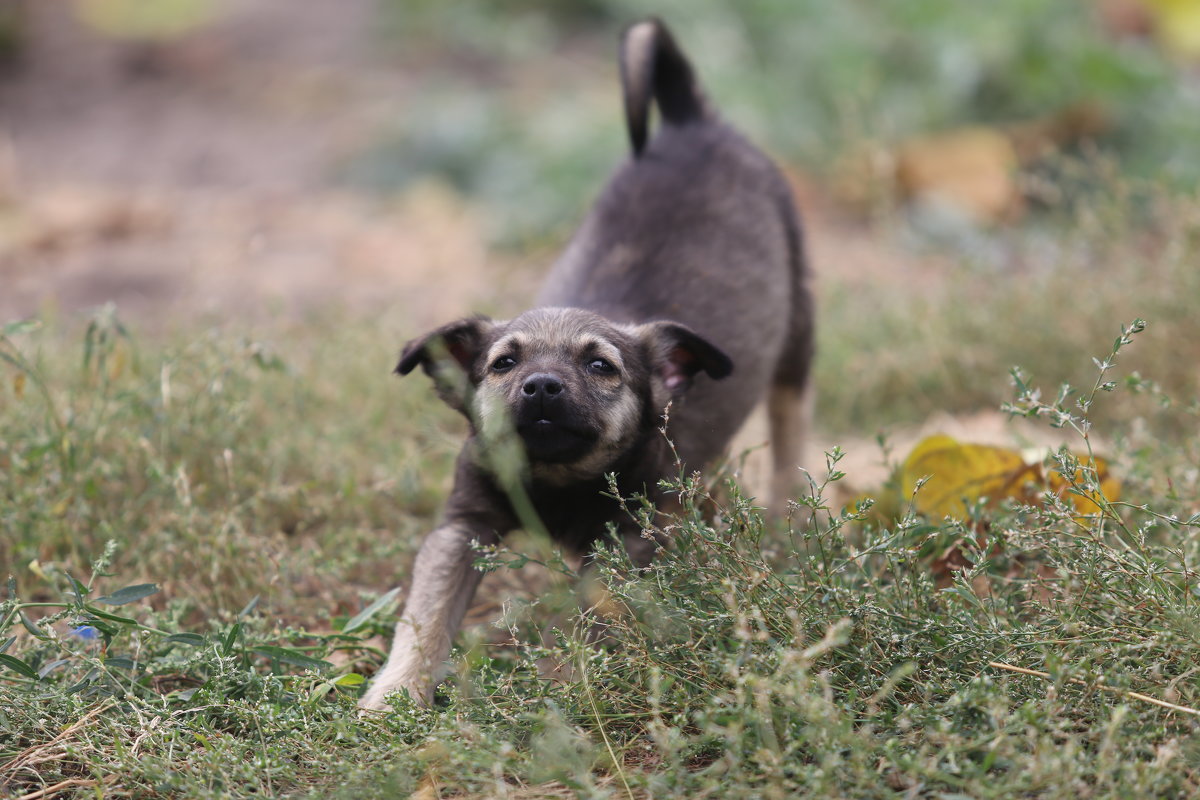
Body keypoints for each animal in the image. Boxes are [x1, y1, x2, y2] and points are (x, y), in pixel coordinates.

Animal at [357, 17, 816, 705]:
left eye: (601, 367)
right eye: (503, 364)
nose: (543, 388)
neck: (556, 479)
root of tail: (689, 123)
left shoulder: (623, 543)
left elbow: (592, 614)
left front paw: (573, 682)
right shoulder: (461, 528)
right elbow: (426, 615)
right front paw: (395, 695)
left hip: (798, 328)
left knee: (789, 419)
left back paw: (784, 515)